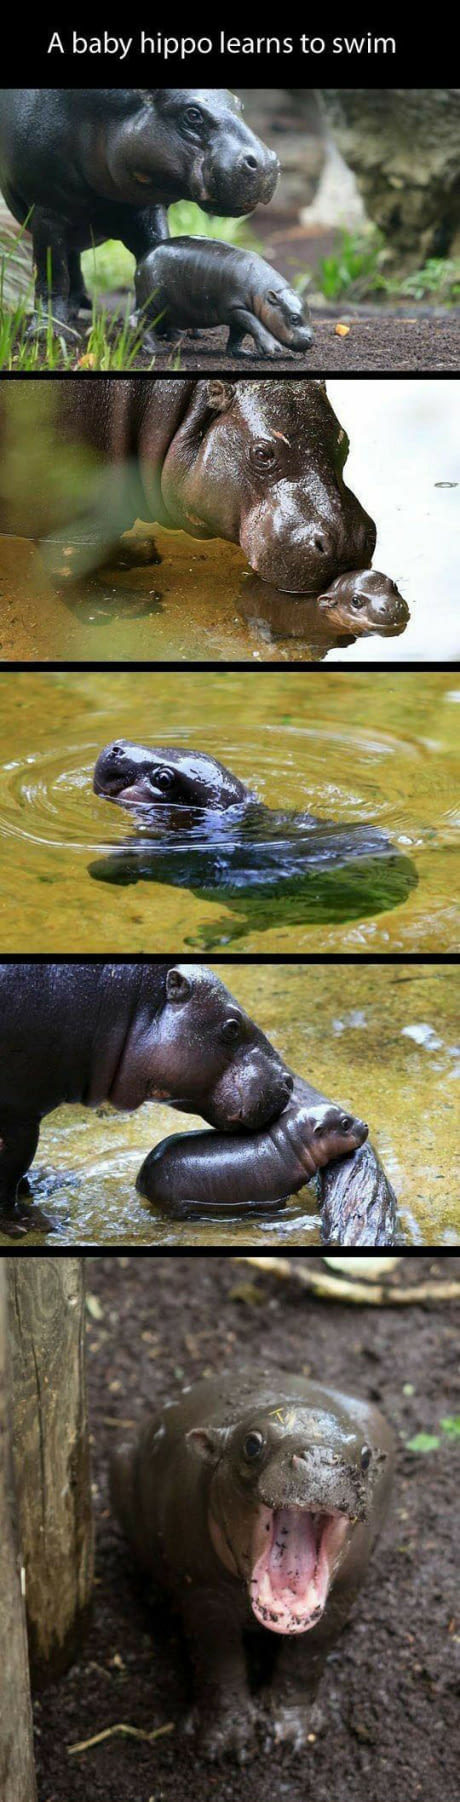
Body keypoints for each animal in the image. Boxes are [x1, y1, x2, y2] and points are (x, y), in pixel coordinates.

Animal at [0, 92, 276, 338]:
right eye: (192, 114)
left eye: (240, 104)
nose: (267, 162)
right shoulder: (47, 209)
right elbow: (52, 275)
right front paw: (48, 334)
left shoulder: (146, 208)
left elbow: (156, 254)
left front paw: (172, 327)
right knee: (66, 262)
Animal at [0, 376, 375, 594]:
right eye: (262, 453)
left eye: (345, 442)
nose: (345, 543)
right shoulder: (74, 521)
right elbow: (67, 572)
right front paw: (134, 604)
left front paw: (138, 553)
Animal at [132, 234, 312, 356]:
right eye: (294, 318)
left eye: (309, 313)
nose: (311, 339)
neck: (262, 291)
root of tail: (142, 260)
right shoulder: (237, 308)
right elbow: (254, 324)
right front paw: (272, 348)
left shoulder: (236, 315)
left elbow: (238, 335)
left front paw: (241, 353)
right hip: (152, 304)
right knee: (144, 322)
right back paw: (156, 350)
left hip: (171, 309)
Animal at [134, 1073, 368, 1218]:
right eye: (345, 1124)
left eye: (344, 1112)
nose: (365, 1125)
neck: (289, 1143)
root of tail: (141, 1179)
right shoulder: (274, 1197)